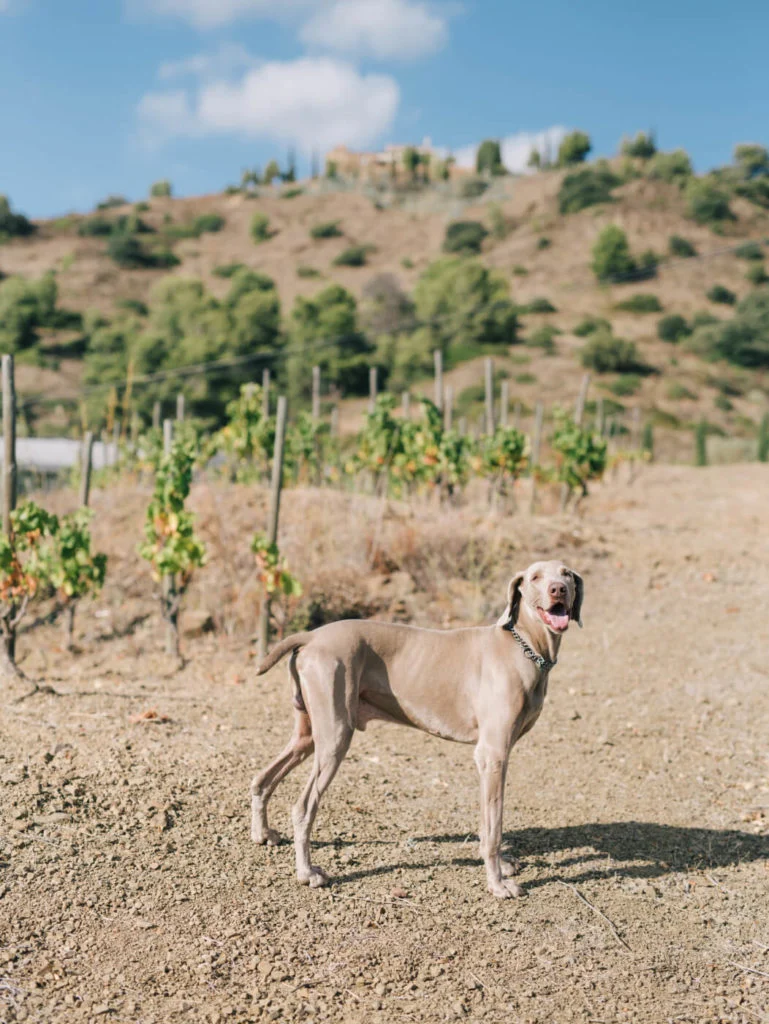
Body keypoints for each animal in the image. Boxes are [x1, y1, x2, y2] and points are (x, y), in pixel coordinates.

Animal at [252, 561, 581, 897]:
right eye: (535, 577)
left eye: (566, 573)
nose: (559, 589)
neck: (523, 646)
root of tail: (311, 637)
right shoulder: (493, 754)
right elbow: (494, 827)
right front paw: (498, 883)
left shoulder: (491, 759)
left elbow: (487, 822)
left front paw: (500, 867)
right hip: (335, 736)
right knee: (303, 807)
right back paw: (307, 873)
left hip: (308, 734)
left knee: (262, 778)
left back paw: (263, 834)